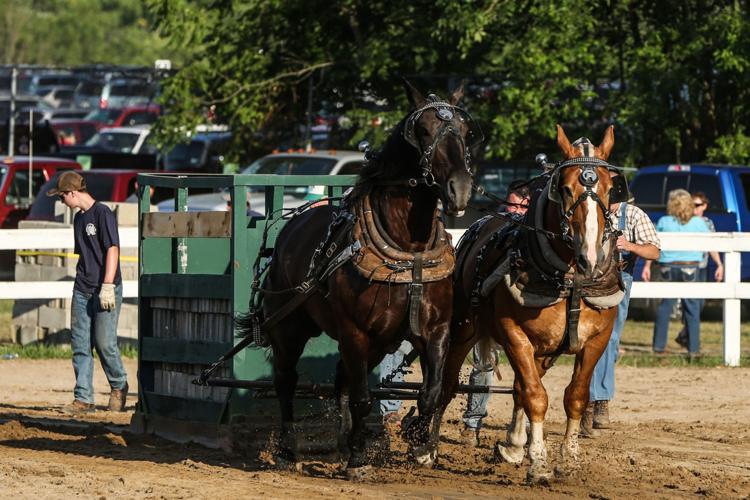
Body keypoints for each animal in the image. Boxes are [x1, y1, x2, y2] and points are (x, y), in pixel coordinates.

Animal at [241, 81, 482, 476]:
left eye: (464, 131)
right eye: (423, 130)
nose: (459, 188)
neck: (409, 248)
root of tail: (291, 225)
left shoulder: (435, 330)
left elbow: (430, 392)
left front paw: (417, 439)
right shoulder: (355, 332)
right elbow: (363, 398)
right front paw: (358, 458)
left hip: (379, 343)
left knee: (340, 378)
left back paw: (342, 442)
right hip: (290, 328)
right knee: (287, 381)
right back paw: (290, 449)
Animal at [414, 123, 620, 482]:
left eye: (610, 189)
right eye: (565, 189)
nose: (590, 258)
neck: (570, 280)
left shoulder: (597, 340)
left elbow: (574, 397)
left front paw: (567, 458)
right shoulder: (514, 335)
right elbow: (536, 396)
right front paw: (538, 461)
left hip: (544, 350)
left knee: (521, 387)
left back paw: (512, 444)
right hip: (464, 331)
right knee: (448, 385)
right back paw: (429, 447)